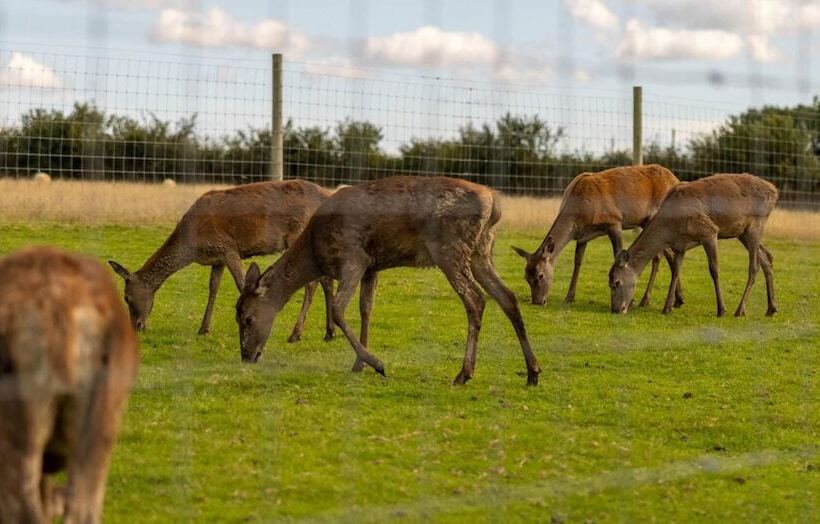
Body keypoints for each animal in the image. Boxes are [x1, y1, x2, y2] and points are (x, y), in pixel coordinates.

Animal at [108, 179, 336, 342]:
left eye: (126, 297)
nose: (137, 326)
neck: (192, 246)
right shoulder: (217, 258)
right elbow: (213, 288)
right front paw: (203, 328)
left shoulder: (228, 247)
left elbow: (241, 284)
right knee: (326, 280)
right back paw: (329, 332)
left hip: (299, 235)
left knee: (313, 282)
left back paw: (296, 334)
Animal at [235, 176, 542, 386]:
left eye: (247, 318)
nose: (246, 356)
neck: (315, 252)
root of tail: (495, 202)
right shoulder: (372, 267)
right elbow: (365, 310)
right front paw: (359, 363)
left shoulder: (353, 257)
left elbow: (338, 309)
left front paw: (377, 363)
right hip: (481, 249)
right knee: (507, 296)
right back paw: (533, 372)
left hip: (450, 247)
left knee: (476, 299)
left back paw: (464, 373)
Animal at [512, 164, 684, 308]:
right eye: (526, 277)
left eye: (540, 275)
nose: (537, 301)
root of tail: (675, 179)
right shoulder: (582, 236)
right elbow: (578, 261)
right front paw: (569, 297)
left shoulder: (614, 222)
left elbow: (618, 255)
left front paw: (629, 299)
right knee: (669, 254)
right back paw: (678, 300)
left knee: (659, 255)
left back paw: (645, 300)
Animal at [608, 173, 778, 317]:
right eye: (609, 282)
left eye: (617, 283)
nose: (616, 310)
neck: (671, 229)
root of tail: (774, 191)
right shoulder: (680, 245)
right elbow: (675, 270)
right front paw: (667, 307)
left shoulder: (709, 231)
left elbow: (714, 270)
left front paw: (721, 309)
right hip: (742, 232)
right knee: (767, 258)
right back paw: (771, 308)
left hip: (756, 225)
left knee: (754, 266)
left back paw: (740, 310)